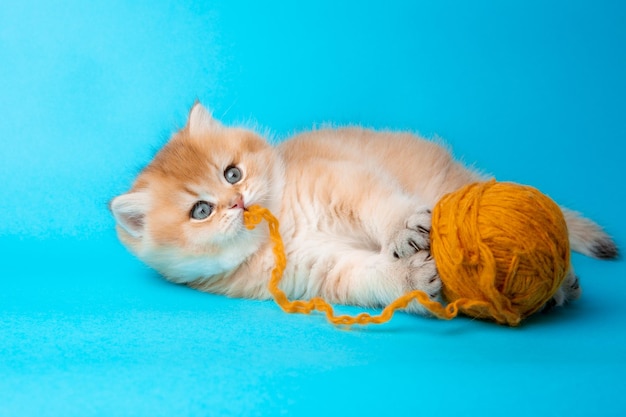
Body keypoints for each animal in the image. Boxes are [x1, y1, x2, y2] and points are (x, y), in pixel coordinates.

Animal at [109, 102, 616, 314]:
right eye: (200, 211)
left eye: (232, 174)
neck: (284, 229)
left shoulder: (342, 183)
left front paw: (404, 230)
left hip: (452, 187)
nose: (237, 201)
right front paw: (412, 279)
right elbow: (369, 277)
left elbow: (382, 207)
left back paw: (562, 282)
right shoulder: (316, 271)